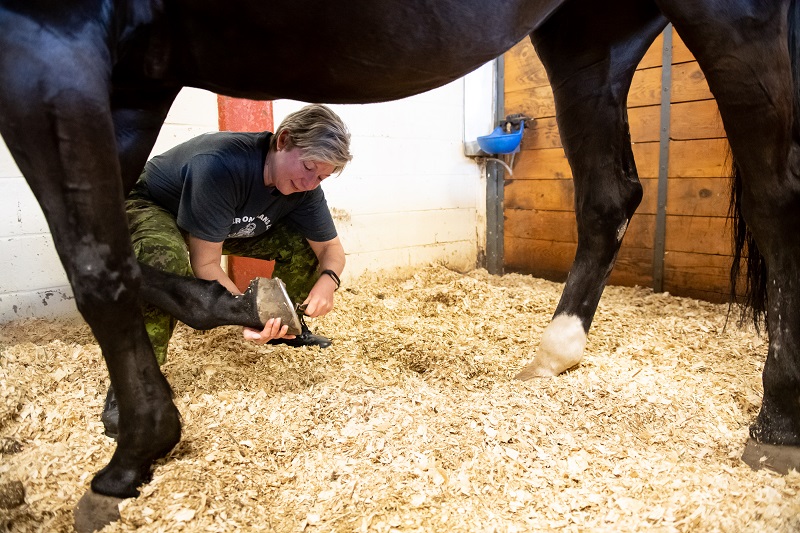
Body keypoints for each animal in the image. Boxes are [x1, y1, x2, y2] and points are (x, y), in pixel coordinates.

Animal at [1, 0, 798, 529]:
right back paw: (555, 352)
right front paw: (236, 320)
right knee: (609, 195)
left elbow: (97, 266)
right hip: (590, 36)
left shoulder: (53, 45)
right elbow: (117, 256)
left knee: (775, 190)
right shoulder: (131, 75)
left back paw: (777, 421)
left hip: (729, 14)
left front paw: (131, 456)